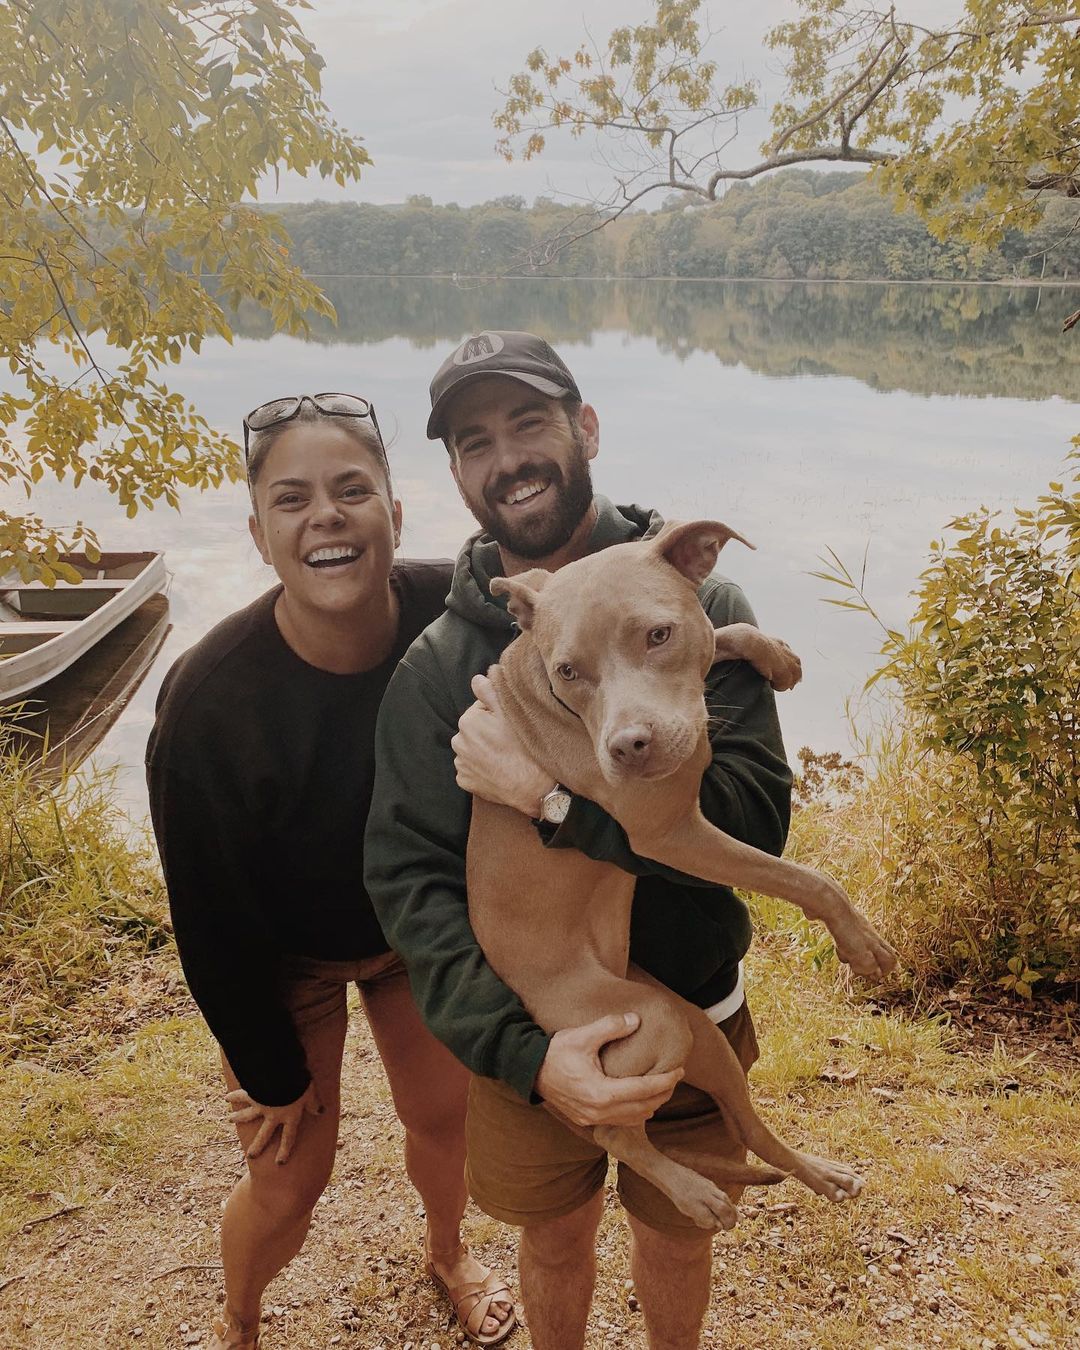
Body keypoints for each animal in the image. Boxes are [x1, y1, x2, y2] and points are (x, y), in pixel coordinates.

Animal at [467, 518, 896, 1236]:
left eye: (658, 635)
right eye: (567, 671)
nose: (627, 747)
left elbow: (720, 633)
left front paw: (774, 655)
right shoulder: (671, 834)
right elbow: (805, 879)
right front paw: (860, 941)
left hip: (696, 1031)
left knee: (747, 1129)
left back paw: (814, 1173)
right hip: (648, 1025)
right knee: (616, 1132)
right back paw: (693, 1191)